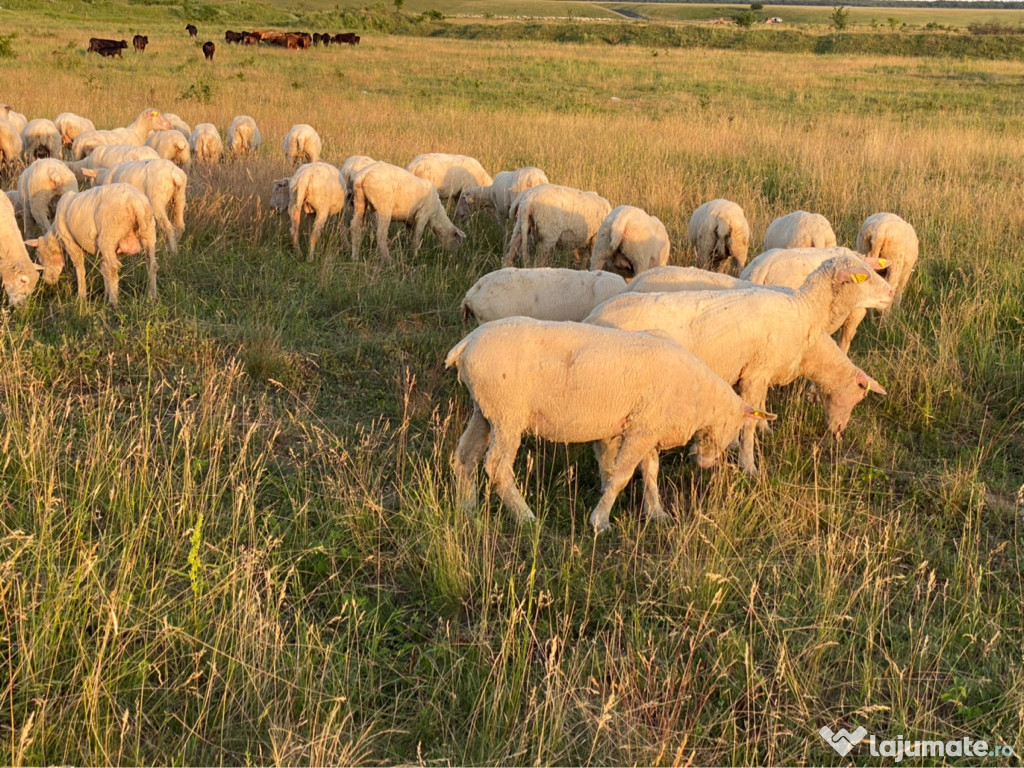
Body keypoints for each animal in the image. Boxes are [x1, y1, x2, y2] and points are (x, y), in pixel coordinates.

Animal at [24, 185, 157, 305]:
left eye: (40, 258)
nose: (47, 281)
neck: (56, 237)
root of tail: (136, 202)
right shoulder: (105, 252)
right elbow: (103, 269)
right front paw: (105, 293)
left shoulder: (71, 244)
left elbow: (80, 269)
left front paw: (82, 297)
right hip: (148, 231)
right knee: (151, 264)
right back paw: (151, 296)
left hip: (108, 236)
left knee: (113, 268)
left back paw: (113, 302)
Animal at [448, 315, 770, 532]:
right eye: (734, 431)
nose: (705, 464)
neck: (697, 395)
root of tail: (466, 344)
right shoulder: (642, 429)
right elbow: (622, 475)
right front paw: (600, 521)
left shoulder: (646, 425)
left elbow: (650, 471)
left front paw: (657, 513)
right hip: (508, 413)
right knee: (496, 467)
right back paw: (526, 517)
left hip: (485, 410)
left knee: (464, 457)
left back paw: (467, 508)